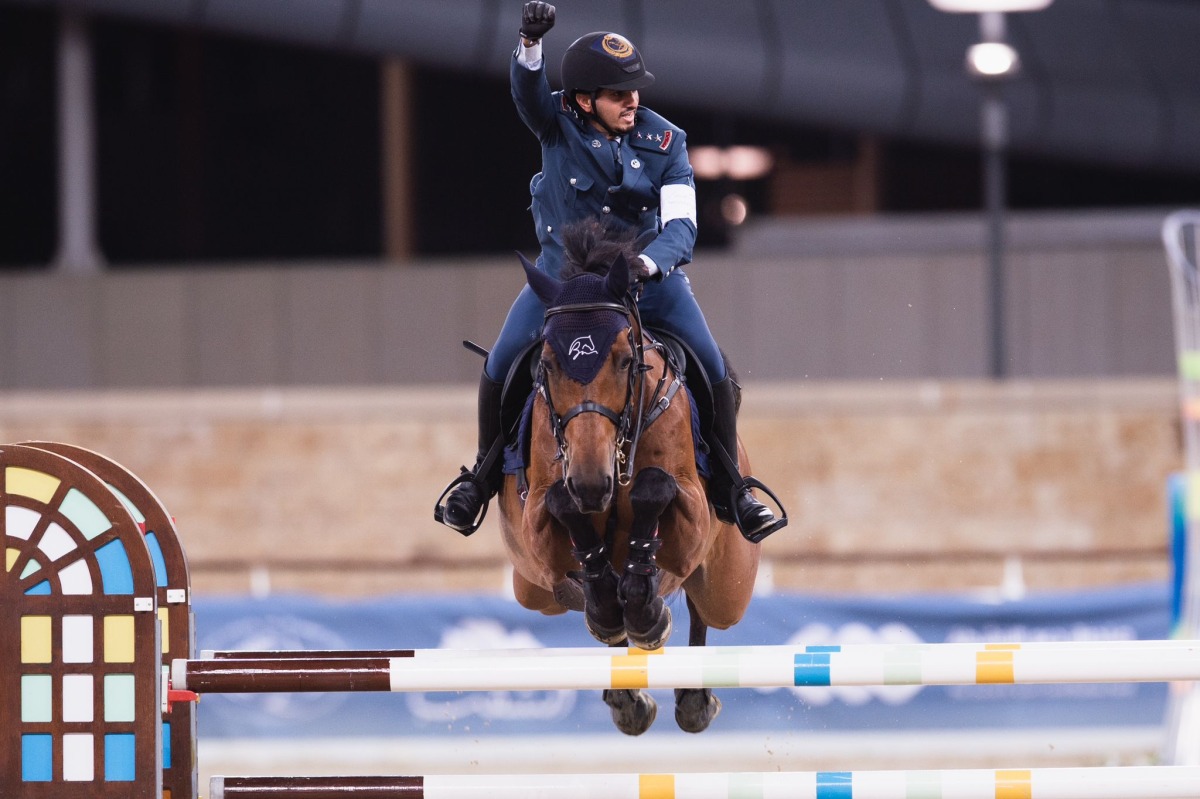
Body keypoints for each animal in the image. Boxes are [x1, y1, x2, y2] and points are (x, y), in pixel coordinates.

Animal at [494, 220, 758, 729]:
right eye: (548, 363)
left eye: (623, 359)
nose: (592, 482)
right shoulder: (537, 532)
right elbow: (562, 503)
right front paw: (612, 603)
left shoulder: (694, 520)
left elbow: (656, 489)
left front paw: (646, 610)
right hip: (533, 589)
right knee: (591, 618)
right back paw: (625, 690)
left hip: (728, 587)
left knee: (705, 608)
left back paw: (692, 696)